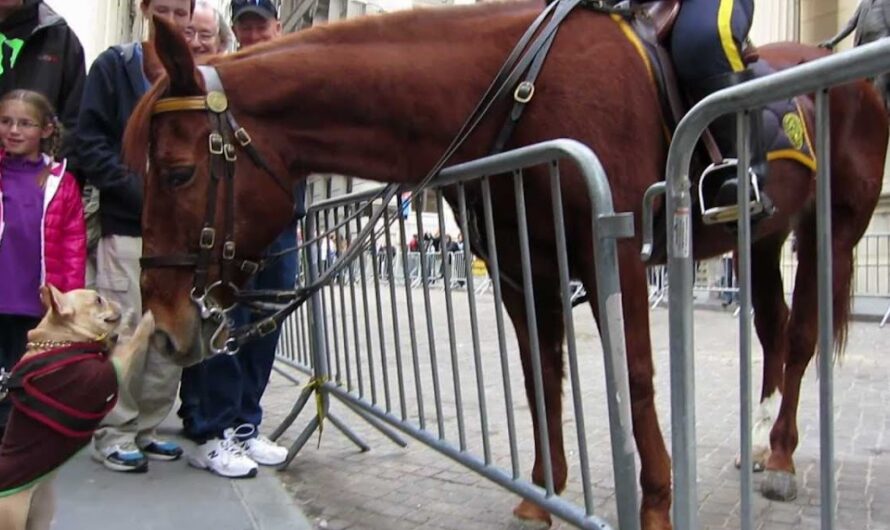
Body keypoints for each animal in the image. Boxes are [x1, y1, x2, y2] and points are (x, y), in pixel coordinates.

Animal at [123, 3, 880, 524]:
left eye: (179, 172)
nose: (166, 322)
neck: (521, 90)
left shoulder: (617, 252)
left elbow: (635, 380)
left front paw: (657, 503)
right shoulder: (523, 267)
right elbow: (539, 377)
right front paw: (542, 495)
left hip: (832, 233)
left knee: (802, 339)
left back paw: (779, 456)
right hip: (762, 241)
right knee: (773, 333)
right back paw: (761, 441)